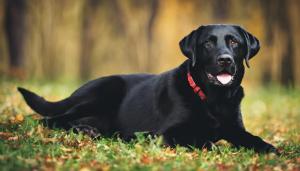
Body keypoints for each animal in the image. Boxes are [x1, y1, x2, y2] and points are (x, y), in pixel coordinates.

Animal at [18, 24, 278, 154]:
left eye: (234, 42)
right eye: (208, 43)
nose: (225, 59)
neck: (213, 98)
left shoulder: (234, 128)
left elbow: (252, 137)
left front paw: (269, 148)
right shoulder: (169, 133)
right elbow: (199, 140)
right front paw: (213, 147)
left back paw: (92, 131)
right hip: (105, 90)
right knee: (51, 119)